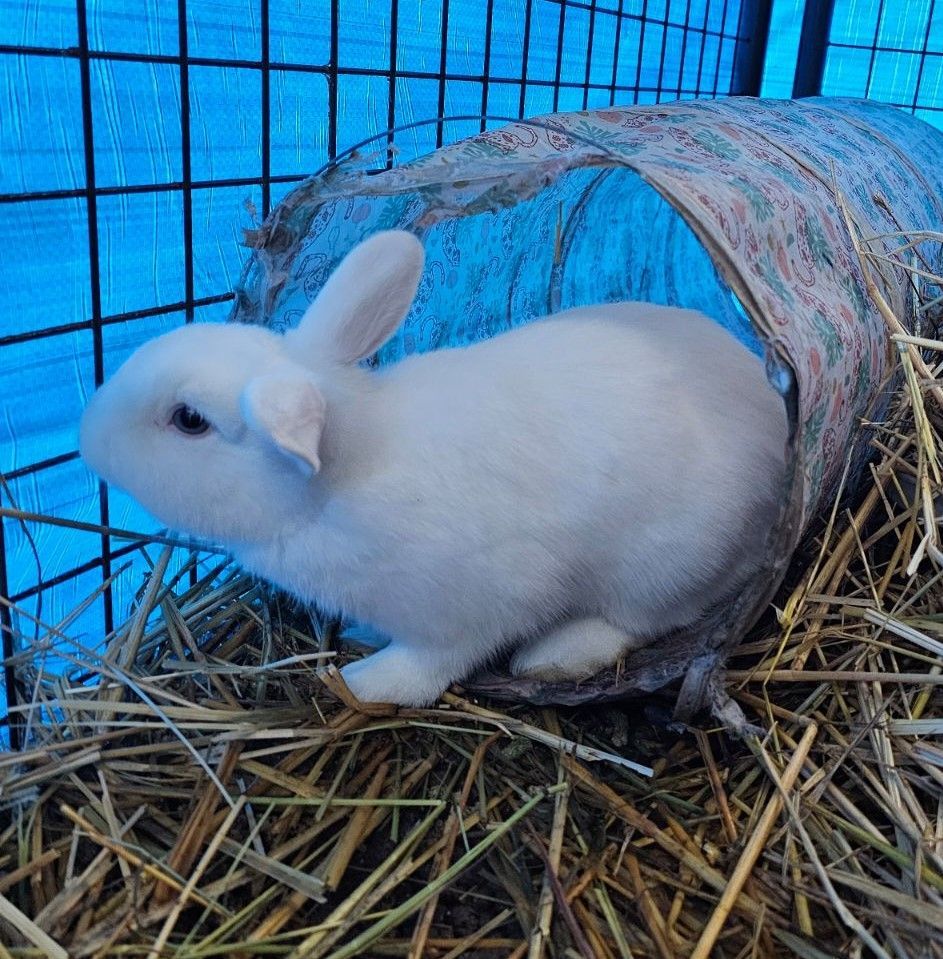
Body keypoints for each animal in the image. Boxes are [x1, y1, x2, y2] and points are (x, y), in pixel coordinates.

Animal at [80, 230, 789, 707]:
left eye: (189, 420)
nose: (88, 440)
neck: (341, 480)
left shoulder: (469, 607)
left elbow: (433, 662)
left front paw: (364, 681)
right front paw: (360, 639)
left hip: (666, 562)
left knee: (644, 620)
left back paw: (553, 657)